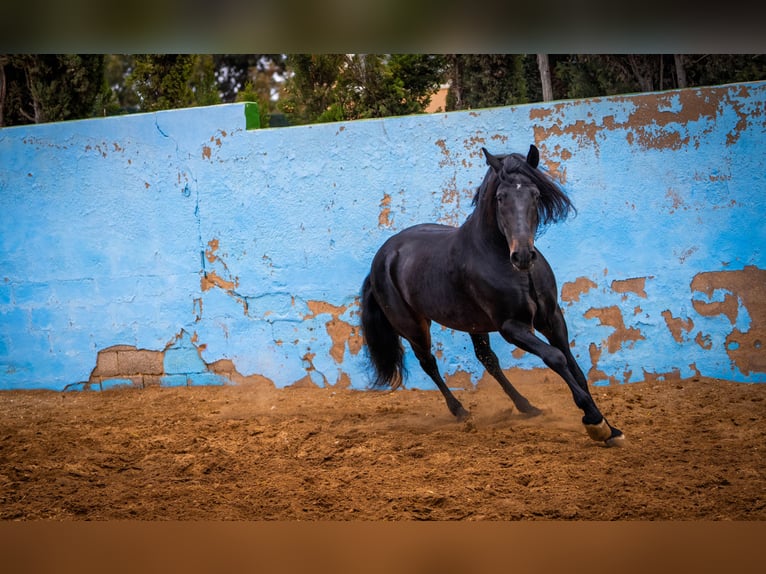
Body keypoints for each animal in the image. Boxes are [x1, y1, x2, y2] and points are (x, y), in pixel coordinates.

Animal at [364, 145, 628, 450]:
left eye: (535, 194)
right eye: (501, 198)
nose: (523, 256)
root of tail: (384, 255)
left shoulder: (552, 318)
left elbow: (576, 369)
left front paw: (611, 429)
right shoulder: (512, 327)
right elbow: (556, 358)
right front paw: (594, 422)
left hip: (472, 322)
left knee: (487, 359)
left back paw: (527, 407)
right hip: (413, 326)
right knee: (429, 363)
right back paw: (461, 412)